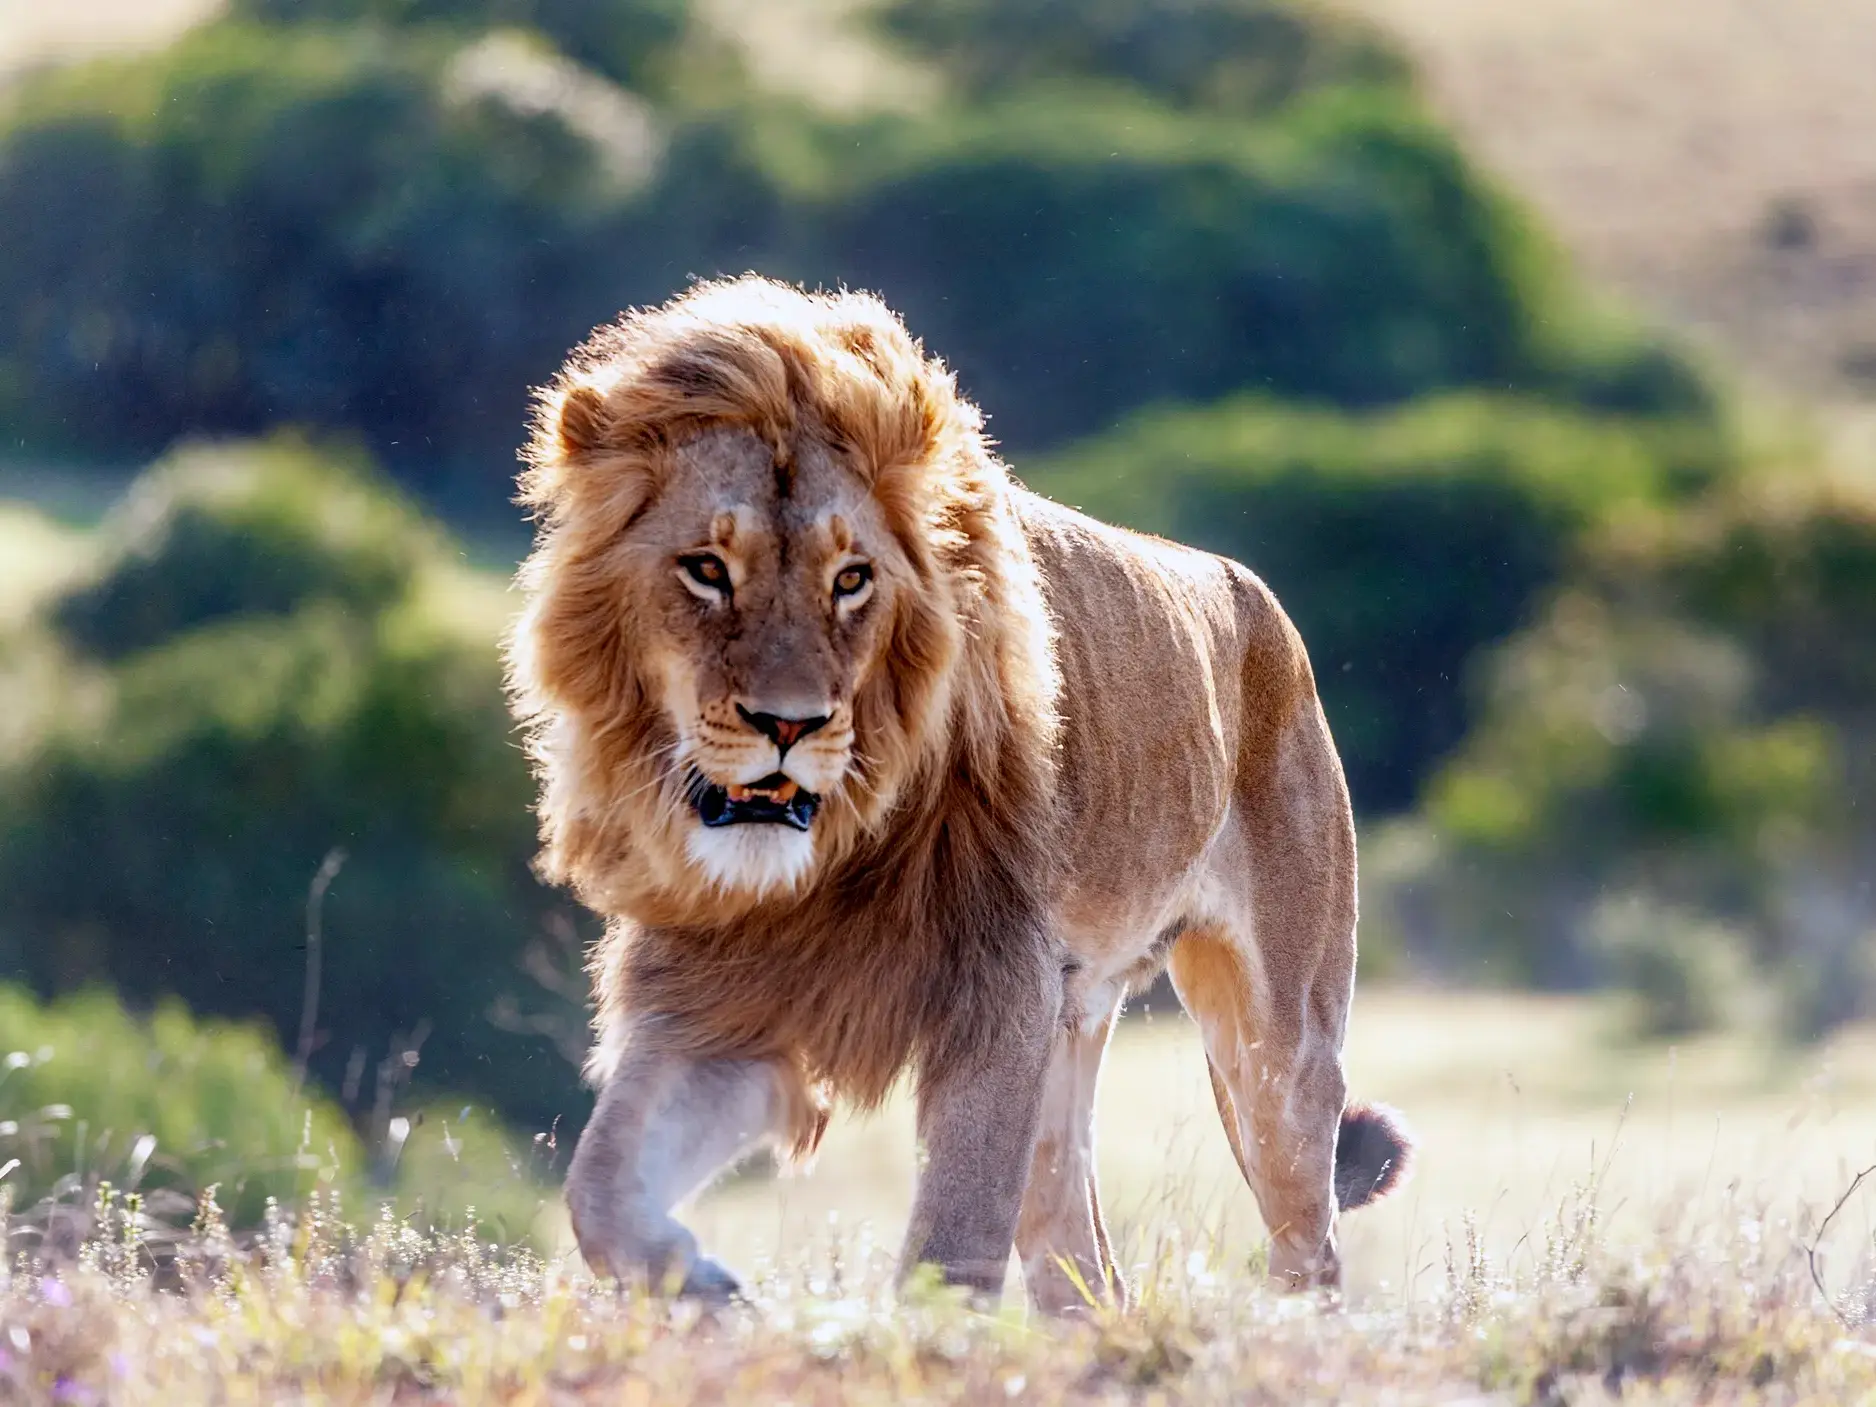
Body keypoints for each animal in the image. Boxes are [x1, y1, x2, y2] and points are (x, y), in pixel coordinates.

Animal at [505, 275, 1412, 1310]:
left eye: (852, 580)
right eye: (706, 569)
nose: (788, 725)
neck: (829, 854)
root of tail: (1258, 596)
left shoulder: (1000, 985)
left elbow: (952, 1240)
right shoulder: (725, 995)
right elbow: (599, 1186)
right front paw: (706, 1288)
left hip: (1279, 1044)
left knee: (1310, 1236)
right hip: (1073, 1030)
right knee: (1082, 1262)